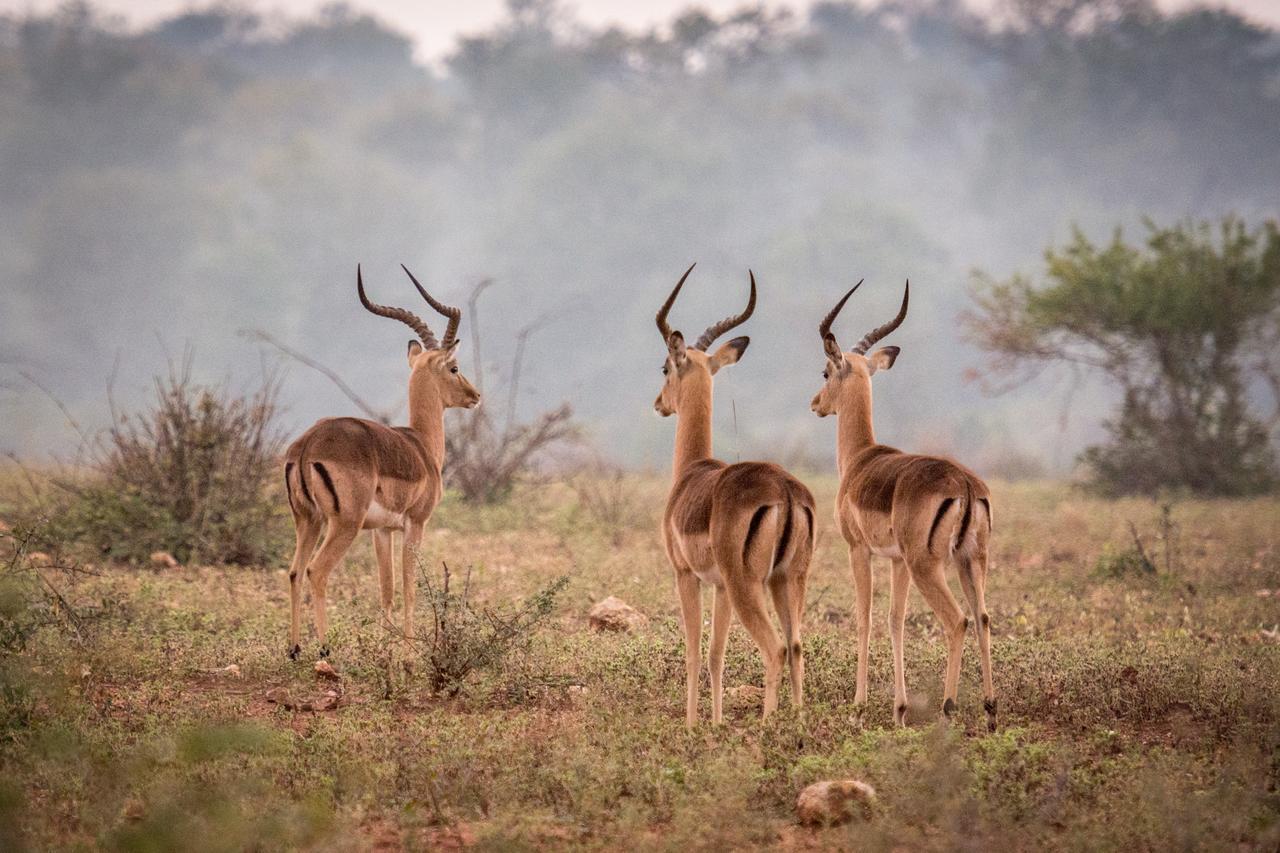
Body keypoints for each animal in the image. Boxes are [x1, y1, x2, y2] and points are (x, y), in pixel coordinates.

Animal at [284, 263, 481, 655]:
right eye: (454, 368)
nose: (474, 395)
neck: (421, 445)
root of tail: (308, 444)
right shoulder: (415, 523)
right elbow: (408, 589)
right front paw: (407, 654)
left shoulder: (382, 530)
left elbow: (386, 589)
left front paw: (388, 650)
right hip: (343, 524)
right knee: (317, 570)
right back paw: (325, 651)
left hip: (307, 519)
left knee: (295, 571)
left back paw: (295, 650)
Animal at [655, 261, 814, 722]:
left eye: (665, 368)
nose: (659, 403)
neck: (692, 472)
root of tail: (784, 491)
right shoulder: (720, 586)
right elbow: (716, 654)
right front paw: (716, 722)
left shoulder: (686, 574)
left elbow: (693, 653)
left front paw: (693, 725)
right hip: (787, 579)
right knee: (796, 646)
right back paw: (799, 721)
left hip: (749, 584)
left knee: (775, 648)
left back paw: (768, 725)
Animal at [808, 281, 998, 727]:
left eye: (825, 371)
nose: (816, 403)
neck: (861, 459)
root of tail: (965, 484)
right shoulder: (895, 560)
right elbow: (895, 620)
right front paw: (899, 708)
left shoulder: (858, 549)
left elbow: (865, 618)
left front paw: (860, 704)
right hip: (970, 559)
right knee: (983, 617)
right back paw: (990, 709)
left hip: (926, 563)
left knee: (958, 620)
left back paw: (948, 707)